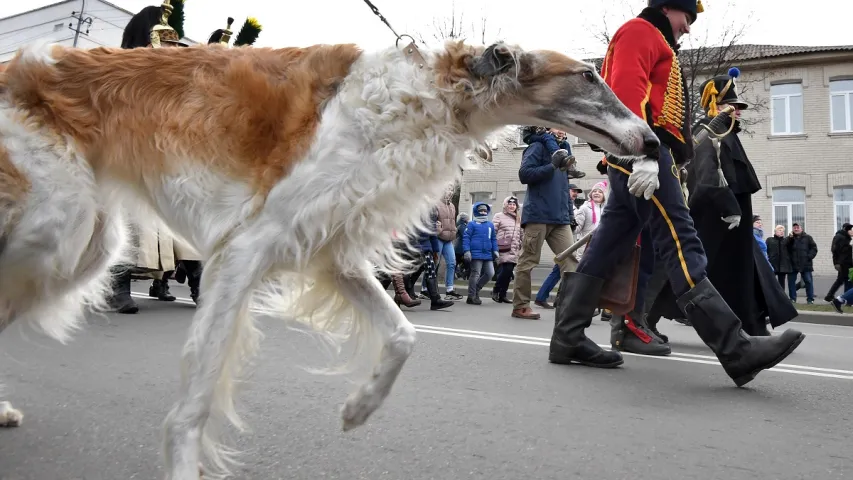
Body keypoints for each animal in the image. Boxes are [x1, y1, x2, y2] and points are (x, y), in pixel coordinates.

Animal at [0, 39, 660, 478]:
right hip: (55, 226)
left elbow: (402, 335)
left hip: (81, 246)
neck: (424, 99)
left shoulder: (331, 253)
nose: (656, 142)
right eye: (588, 76)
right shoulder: (242, 251)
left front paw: (358, 408)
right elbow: (193, 406)